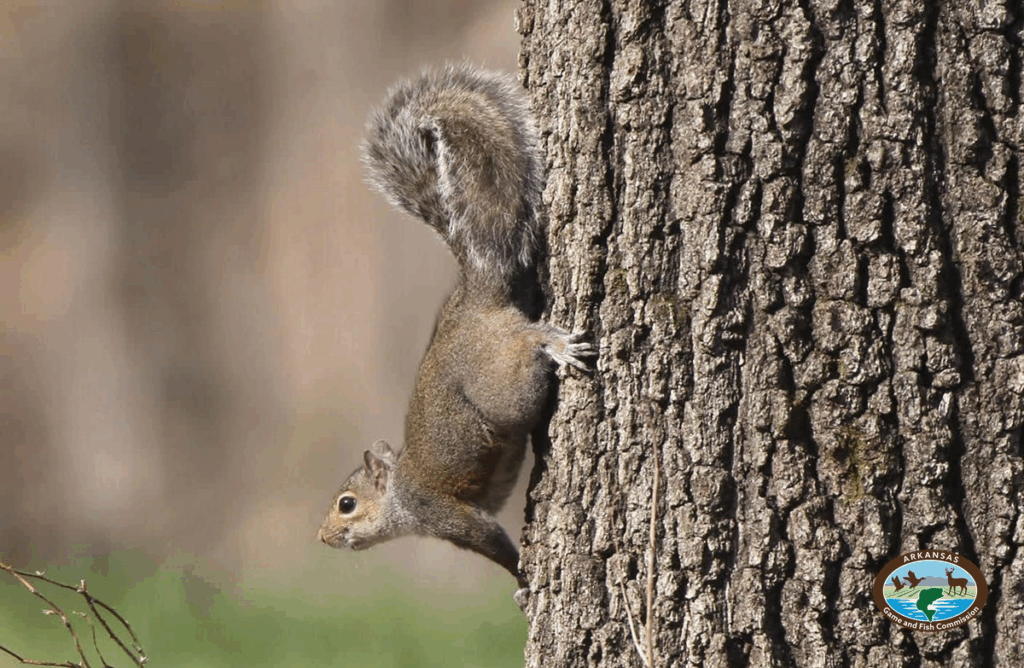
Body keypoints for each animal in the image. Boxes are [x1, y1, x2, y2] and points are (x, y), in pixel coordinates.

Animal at [317, 63, 594, 590]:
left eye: (346, 504)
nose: (321, 537)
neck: (400, 494)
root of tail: (477, 299)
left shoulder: (448, 516)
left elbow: (494, 544)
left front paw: (524, 585)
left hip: (500, 389)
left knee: (527, 355)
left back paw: (554, 343)